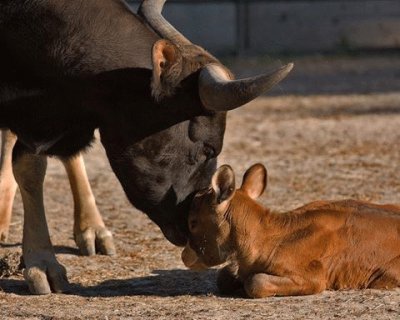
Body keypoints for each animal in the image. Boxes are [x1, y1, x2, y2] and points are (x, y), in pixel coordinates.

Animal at [0, 0, 294, 294]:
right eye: (208, 149)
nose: (193, 220)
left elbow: (30, 163)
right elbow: (30, 167)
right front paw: (41, 262)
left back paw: (91, 228)